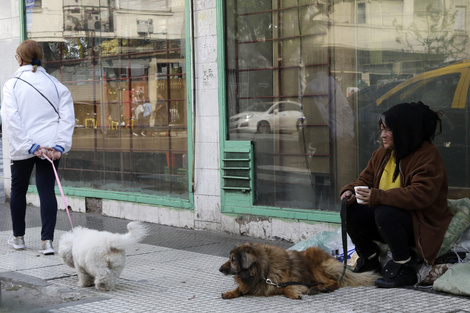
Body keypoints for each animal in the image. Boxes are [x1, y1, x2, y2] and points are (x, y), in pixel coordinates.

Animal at [218, 241, 380, 298]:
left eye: (233, 259)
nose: (219, 269)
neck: (261, 270)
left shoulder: (293, 281)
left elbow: (286, 289)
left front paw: (294, 294)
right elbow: (240, 289)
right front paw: (230, 292)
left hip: (313, 261)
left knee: (335, 281)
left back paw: (323, 288)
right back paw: (316, 289)